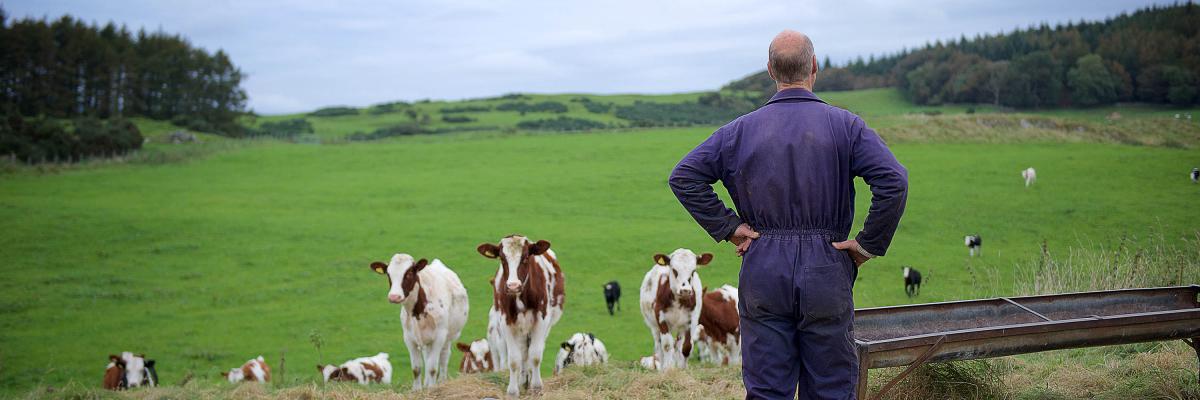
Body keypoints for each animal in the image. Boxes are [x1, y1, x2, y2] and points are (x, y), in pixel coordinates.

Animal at [369, 253, 468, 386]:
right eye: (388, 274)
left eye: (409, 273)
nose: (394, 296)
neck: (418, 312)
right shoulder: (409, 338)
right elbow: (416, 369)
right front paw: (418, 389)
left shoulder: (439, 337)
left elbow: (432, 368)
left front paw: (432, 388)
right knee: (427, 357)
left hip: (448, 336)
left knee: (444, 357)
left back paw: (441, 381)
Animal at [475, 234, 564, 396]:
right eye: (502, 258)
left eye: (526, 257)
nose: (513, 286)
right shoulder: (506, 322)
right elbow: (514, 359)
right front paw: (513, 391)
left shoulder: (541, 320)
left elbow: (535, 355)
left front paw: (536, 387)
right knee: (523, 354)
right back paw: (523, 380)